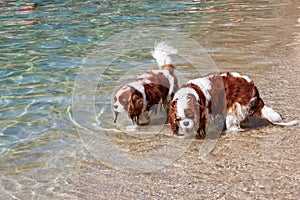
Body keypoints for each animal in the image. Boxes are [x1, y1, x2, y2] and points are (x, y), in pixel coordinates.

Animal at [169, 72, 298, 138]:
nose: (186, 124)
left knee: (234, 127)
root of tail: (254, 88)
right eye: (178, 119)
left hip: (234, 108)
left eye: (191, 116)